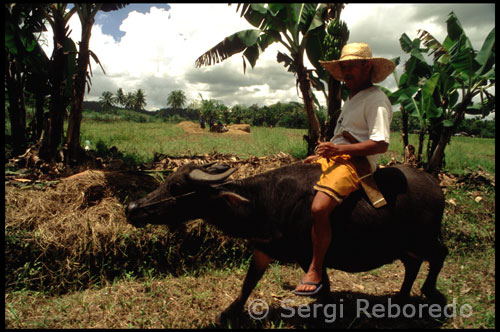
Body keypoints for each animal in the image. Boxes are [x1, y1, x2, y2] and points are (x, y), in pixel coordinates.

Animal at [127, 161, 448, 322]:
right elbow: (248, 283)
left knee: (438, 254)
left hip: (424, 237)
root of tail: (437, 186)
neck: (261, 201)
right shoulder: (262, 248)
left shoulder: (309, 256)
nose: (132, 208)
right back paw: (401, 298)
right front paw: (230, 312)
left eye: (177, 187)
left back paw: (429, 292)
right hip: (404, 244)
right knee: (413, 263)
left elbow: (324, 288)